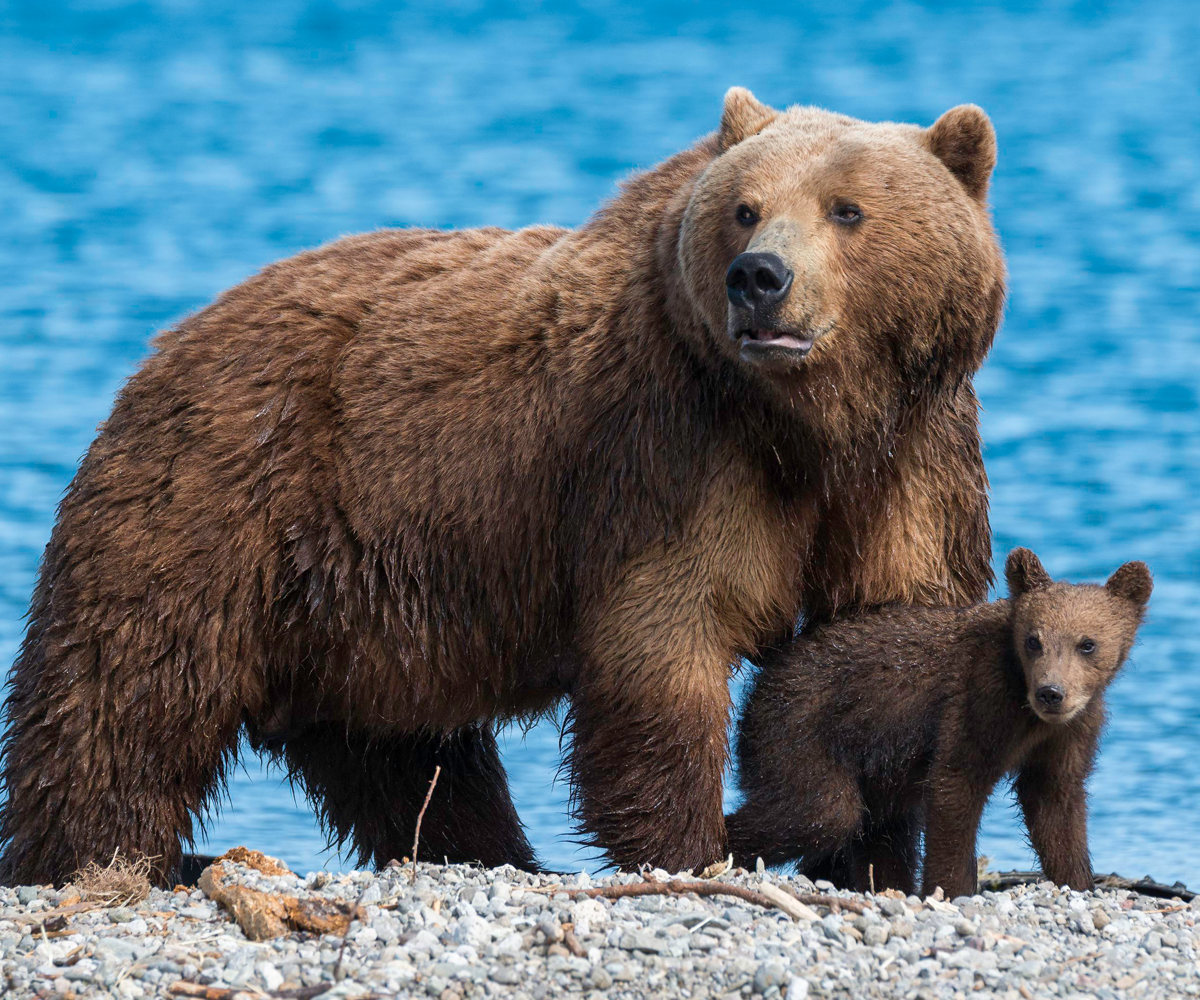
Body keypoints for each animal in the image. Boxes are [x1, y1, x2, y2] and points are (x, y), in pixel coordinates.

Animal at [0, 87, 1003, 883]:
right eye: (747, 208)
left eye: (847, 209)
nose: (759, 279)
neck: (811, 424)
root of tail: (166, 346)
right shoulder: (670, 451)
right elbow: (666, 638)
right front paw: (689, 845)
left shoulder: (915, 456)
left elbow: (882, 635)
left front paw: (872, 853)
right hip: (215, 504)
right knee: (125, 701)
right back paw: (92, 856)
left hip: (362, 603)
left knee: (403, 753)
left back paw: (489, 853)